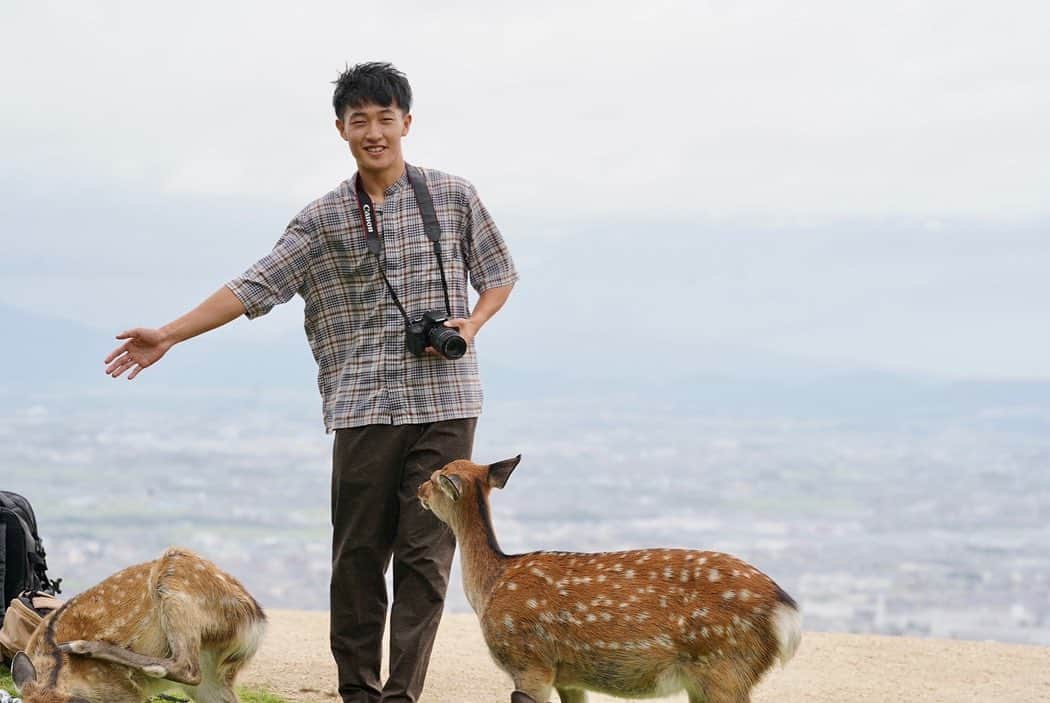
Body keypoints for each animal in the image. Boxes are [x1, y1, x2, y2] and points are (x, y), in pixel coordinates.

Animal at [9, 549, 266, 703]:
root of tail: (257, 623)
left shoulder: (126, 695)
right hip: (213, 679)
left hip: (176, 581)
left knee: (187, 667)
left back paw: (82, 646)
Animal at [417, 457, 802, 703]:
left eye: (436, 476)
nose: (418, 489)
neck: (491, 584)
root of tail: (787, 613)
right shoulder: (568, 677)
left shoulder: (530, 662)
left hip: (725, 666)